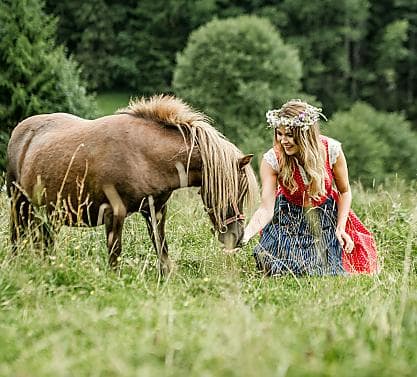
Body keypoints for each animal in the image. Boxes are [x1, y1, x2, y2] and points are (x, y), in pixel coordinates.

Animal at [6, 93, 258, 270]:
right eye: (233, 191)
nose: (237, 237)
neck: (144, 155)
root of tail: (21, 130)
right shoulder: (114, 213)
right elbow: (114, 255)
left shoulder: (156, 211)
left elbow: (162, 250)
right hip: (18, 205)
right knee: (16, 240)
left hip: (50, 214)